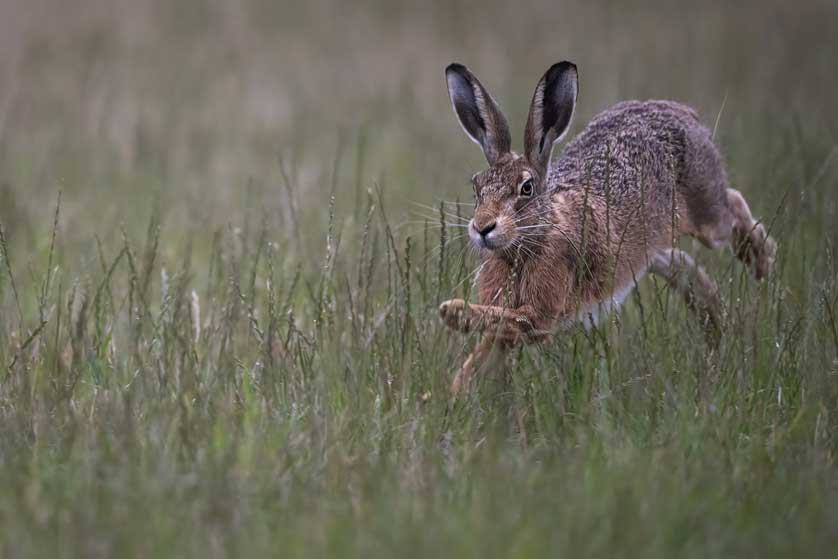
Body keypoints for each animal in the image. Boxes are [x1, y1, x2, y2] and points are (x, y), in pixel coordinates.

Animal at [439, 61, 777, 394]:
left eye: (526, 188)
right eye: (477, 187)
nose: (483, 227)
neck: (533, 239)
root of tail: (680, 111)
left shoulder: (540, 315)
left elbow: (510, 322)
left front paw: (453, 311)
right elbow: (484, 351)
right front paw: (455, 392)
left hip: (707, 215)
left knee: (732, 205)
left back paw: (761, 262)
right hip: (645, 252)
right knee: (680, 264)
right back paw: (716, 326)